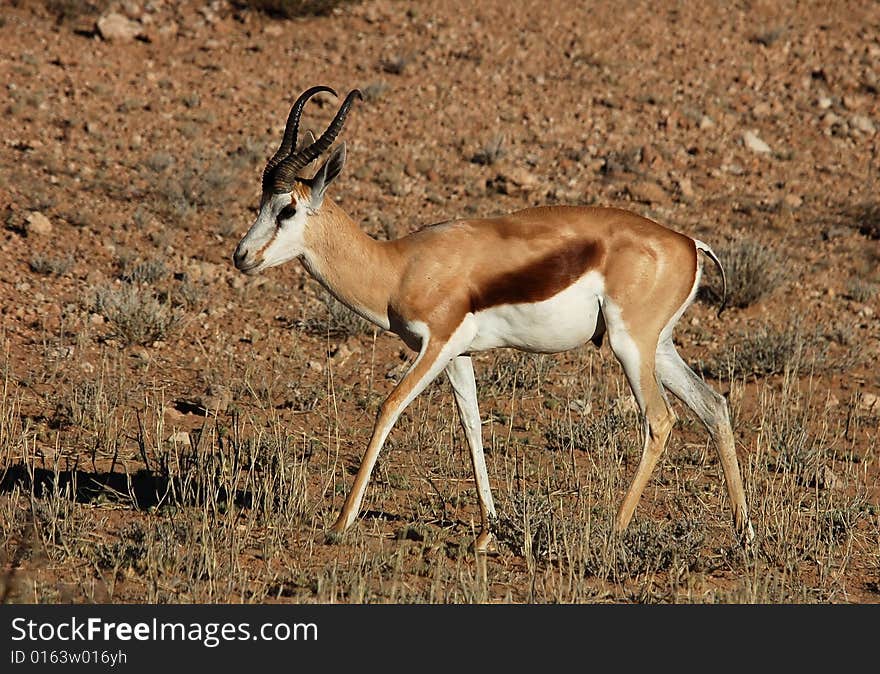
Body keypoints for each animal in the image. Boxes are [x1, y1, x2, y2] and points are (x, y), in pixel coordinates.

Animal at [234, 86, 756, 552]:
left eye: (287, 208)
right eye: (260, 205)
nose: (242, 256)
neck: (398, 266)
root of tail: (689, 243)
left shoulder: (437, 343)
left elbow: (389, 408)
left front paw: (341, 522)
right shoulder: (458, 355)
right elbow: (472, 426)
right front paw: (487, 533)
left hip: (630, 347)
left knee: (660, 420)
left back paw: (616, 530)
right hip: (657, 348)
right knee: (714, 405)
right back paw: (745, 535)